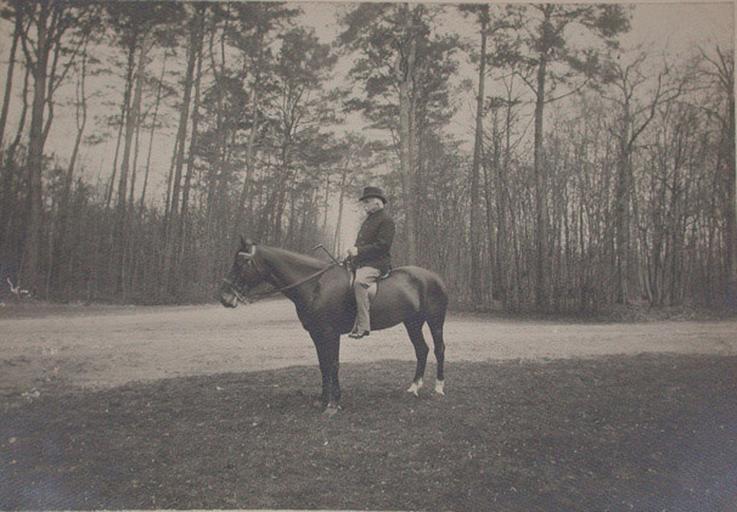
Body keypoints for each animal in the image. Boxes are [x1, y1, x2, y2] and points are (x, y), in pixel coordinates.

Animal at [217, 238, 448, 414]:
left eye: (241, 263)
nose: (224, 298)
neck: (315, 285)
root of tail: (435, 277)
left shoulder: (330, 333)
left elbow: (334, 364)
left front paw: (333, 404)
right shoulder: (317, 334)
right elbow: (324, 365)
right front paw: (322, 399)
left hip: (435, 321)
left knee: (439, 349)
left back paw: (438, 388)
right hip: (412, 322)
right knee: (421, 350)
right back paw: (414, 387)